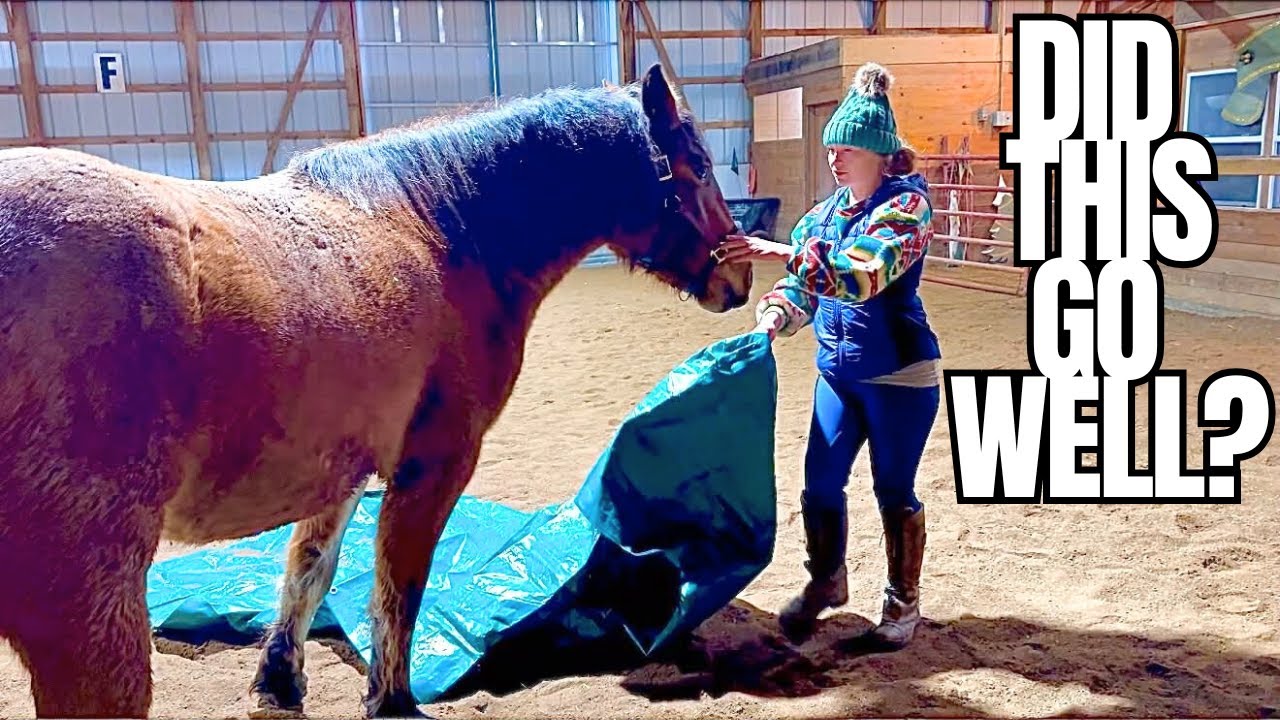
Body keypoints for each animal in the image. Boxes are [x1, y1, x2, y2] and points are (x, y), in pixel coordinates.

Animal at [0, 63, 752, 719]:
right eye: (699, 165)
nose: (739, 279)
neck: (436, 227)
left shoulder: (336, 468)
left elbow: (309, 572)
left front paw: (280, 682)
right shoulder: (433, 466)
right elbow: (398, 590)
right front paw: (392, 700)